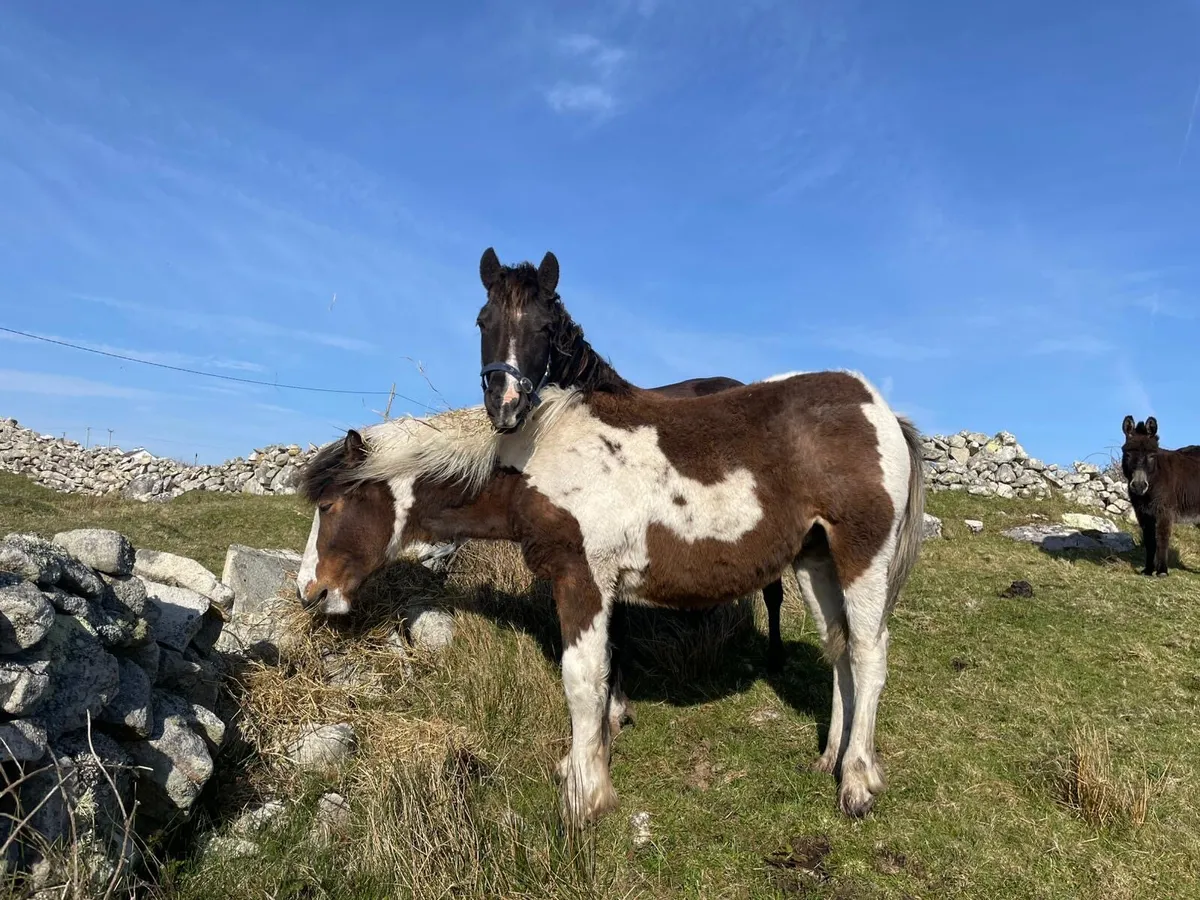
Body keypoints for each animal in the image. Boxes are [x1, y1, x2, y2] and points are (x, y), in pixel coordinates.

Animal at [1121, 415, 1200, 576]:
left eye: (1152, 455)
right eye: (1127, 454)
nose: (1139, 486)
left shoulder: (1165, 511)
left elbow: (1162, 537)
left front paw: (1162, 571)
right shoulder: (1143, 513)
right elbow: (1149, 541)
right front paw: (1148, 570)